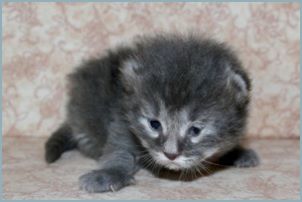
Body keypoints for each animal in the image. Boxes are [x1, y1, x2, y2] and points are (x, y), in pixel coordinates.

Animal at [45, 34, 260, 193]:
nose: (171, 155)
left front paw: (237, 152)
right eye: (154, 124)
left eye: (195, 130)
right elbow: (119, 151)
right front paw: (109, 173)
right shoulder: (122, 121)